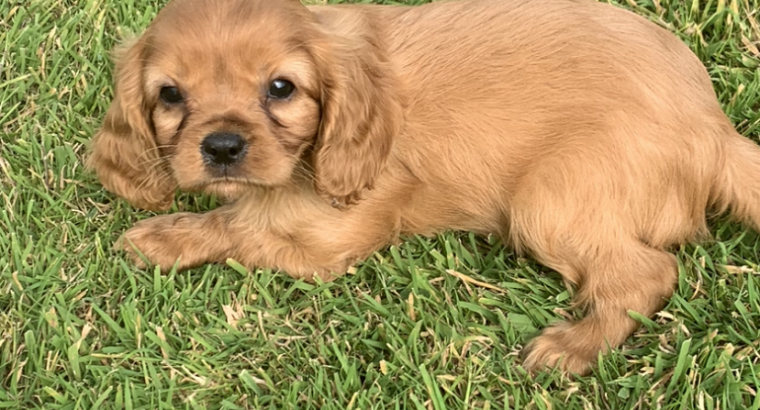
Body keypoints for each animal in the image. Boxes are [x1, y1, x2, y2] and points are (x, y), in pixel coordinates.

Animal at [87, 0, 760, 374]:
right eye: (170, 95)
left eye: (281, 88)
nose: (222, 148)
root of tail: (715, 130)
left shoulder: (337, 235)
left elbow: (239, 226)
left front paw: (163, 237)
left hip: (548, 200)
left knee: (647, 273)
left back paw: (575, 346)